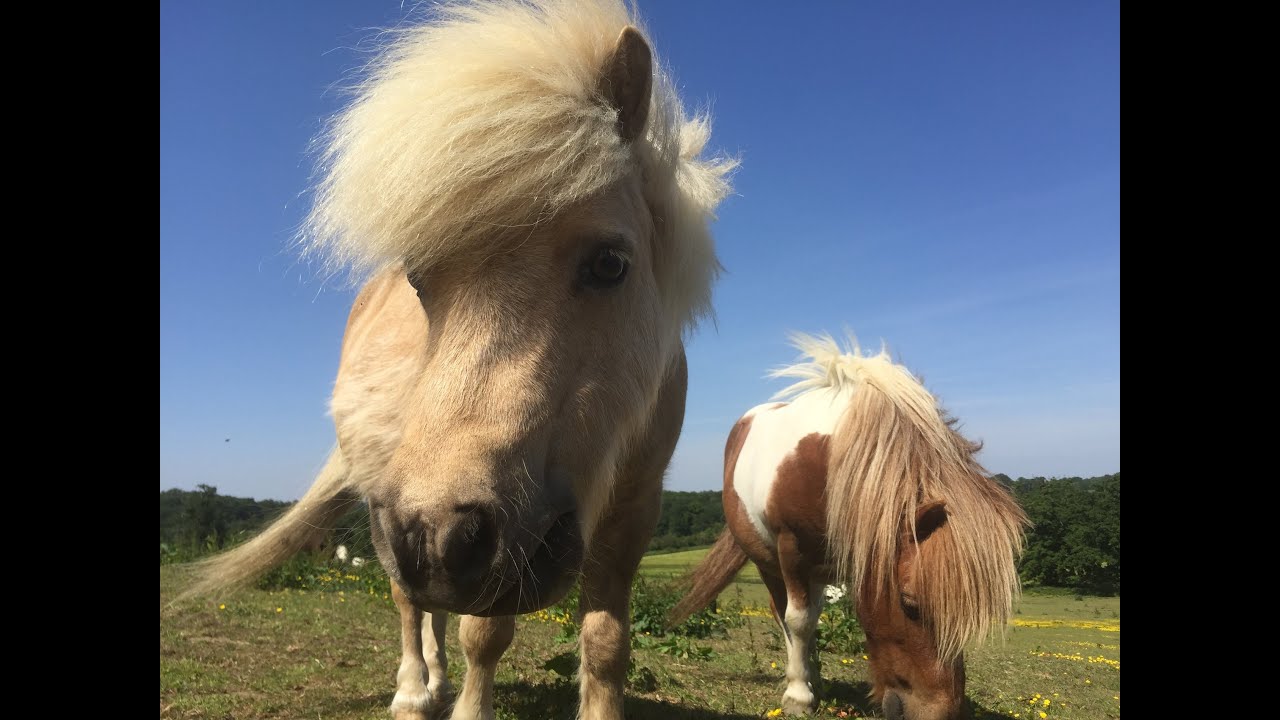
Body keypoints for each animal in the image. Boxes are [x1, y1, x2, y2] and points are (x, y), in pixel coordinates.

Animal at [185, 2, 734, 719]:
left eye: (611, 263)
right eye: (420, 282)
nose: (434, 536)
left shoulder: (633, 513)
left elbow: (606, 645)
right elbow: (484, 635)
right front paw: (465, 702)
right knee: (409, 603)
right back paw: (415, 689)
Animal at [670, 334, 1029, 720]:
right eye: (909, 603)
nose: (942, 713)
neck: (829, 463)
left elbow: (810, 619)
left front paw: (810, 682)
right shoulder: (791, 550)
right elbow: (797, 620)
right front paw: (797, 696)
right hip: (770, 562)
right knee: (786, 614)